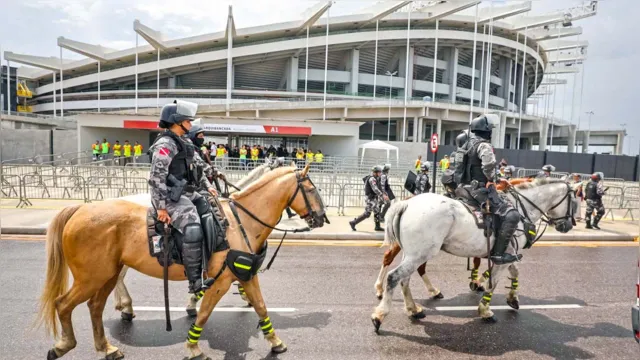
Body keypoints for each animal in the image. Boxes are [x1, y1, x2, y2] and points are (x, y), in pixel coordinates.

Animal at [372, 176, 532, 298]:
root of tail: (406, 202)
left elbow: (504, 268)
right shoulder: (503, 253)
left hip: (415, 249)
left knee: (399, 263)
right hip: (422, 250)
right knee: (408, 267)